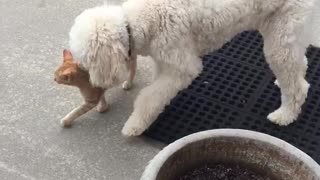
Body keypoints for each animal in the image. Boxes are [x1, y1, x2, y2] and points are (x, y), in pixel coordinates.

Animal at [69, 0, 320, 136]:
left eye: (84, 59)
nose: (88, 82)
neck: (135, 22)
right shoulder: (164, 63)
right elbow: (156, 93)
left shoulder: (182, 66)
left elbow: (148, 96)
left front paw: (135, 124)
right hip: (281, 30)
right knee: (299, 65)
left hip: (281, 35)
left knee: (298, 86)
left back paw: (285, 114)